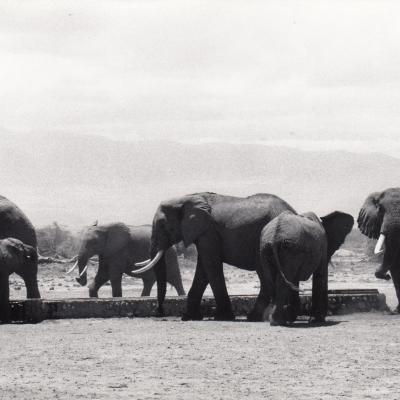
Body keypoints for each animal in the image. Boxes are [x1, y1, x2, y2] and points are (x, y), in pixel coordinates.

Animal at [134, 192, 296, 320]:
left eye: (162, 225)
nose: (159, 313)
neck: (186, 198)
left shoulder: (208, 232)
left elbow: (210, 265)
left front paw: (222, 317)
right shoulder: (204, 234)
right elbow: (203, 270)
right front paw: (190, 317)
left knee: (264, 276)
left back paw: (254, 317)